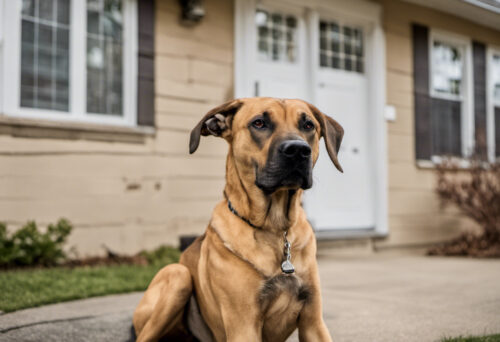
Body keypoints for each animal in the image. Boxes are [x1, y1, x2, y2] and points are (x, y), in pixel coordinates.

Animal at [133, 97, 344, 342]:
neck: (275, 228)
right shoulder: (243, 325)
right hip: (177, 275)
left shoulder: (313, 322)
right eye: (259, 123)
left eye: (308, 125)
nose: (298, 150)